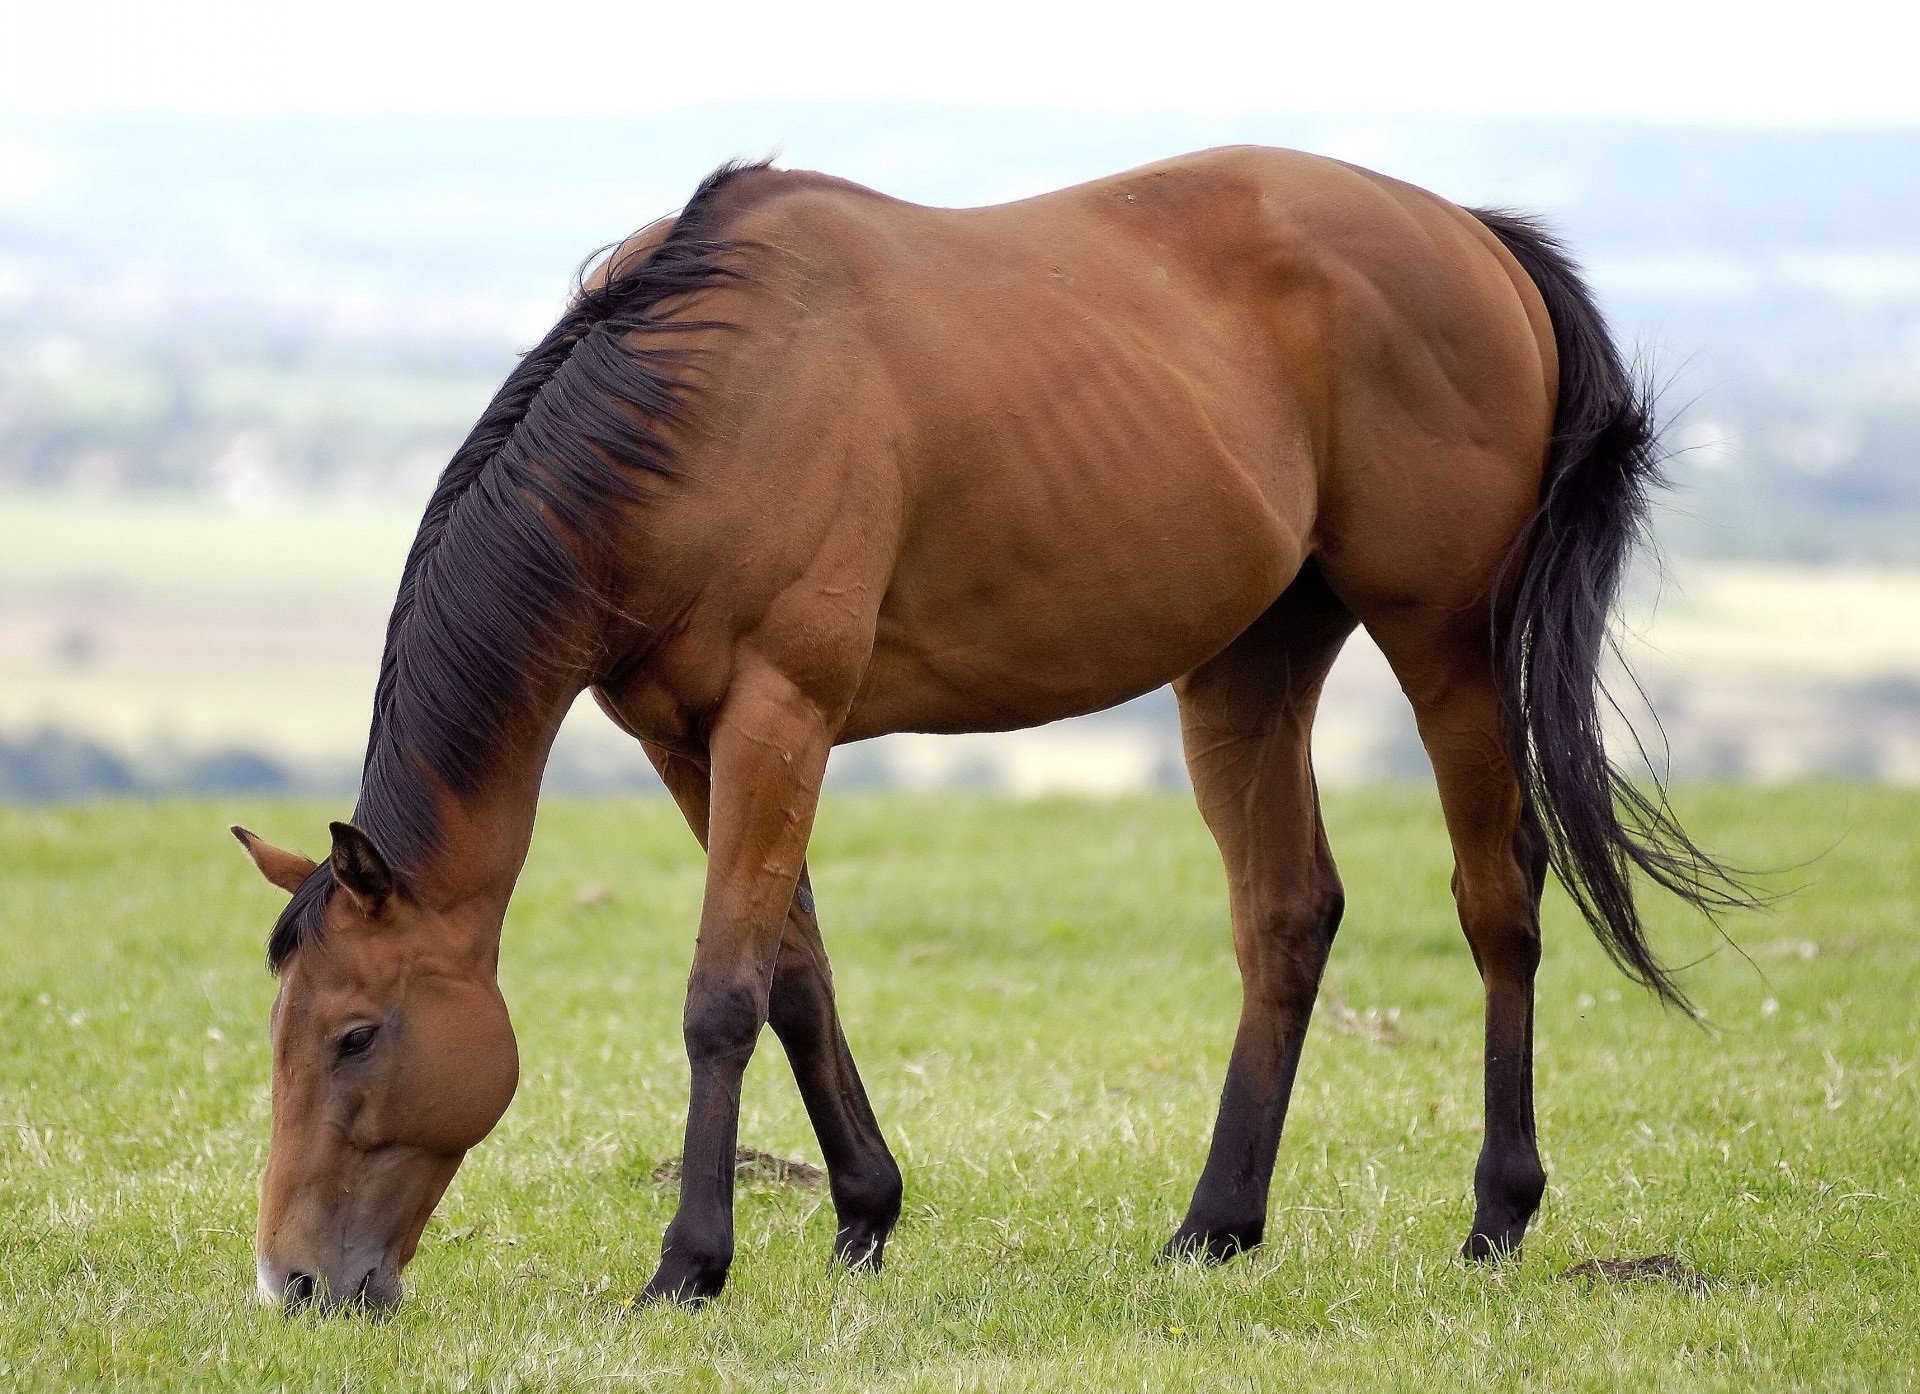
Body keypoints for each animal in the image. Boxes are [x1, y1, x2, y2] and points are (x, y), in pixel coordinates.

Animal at [232, 146, 1747, 1313]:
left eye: (356, 1034)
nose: (294, 1282)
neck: (698, 406)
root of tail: (1474, 237)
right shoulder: (689, 739)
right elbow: (797, 972)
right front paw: (863, 1210)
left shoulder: (780, 712)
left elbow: (724, 994)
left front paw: (691, 1262)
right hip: (1248, 665)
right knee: (1286, 914)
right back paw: (1214, 1225)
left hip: (1447, 649)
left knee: (1499, 900)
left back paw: (1497, 1214)